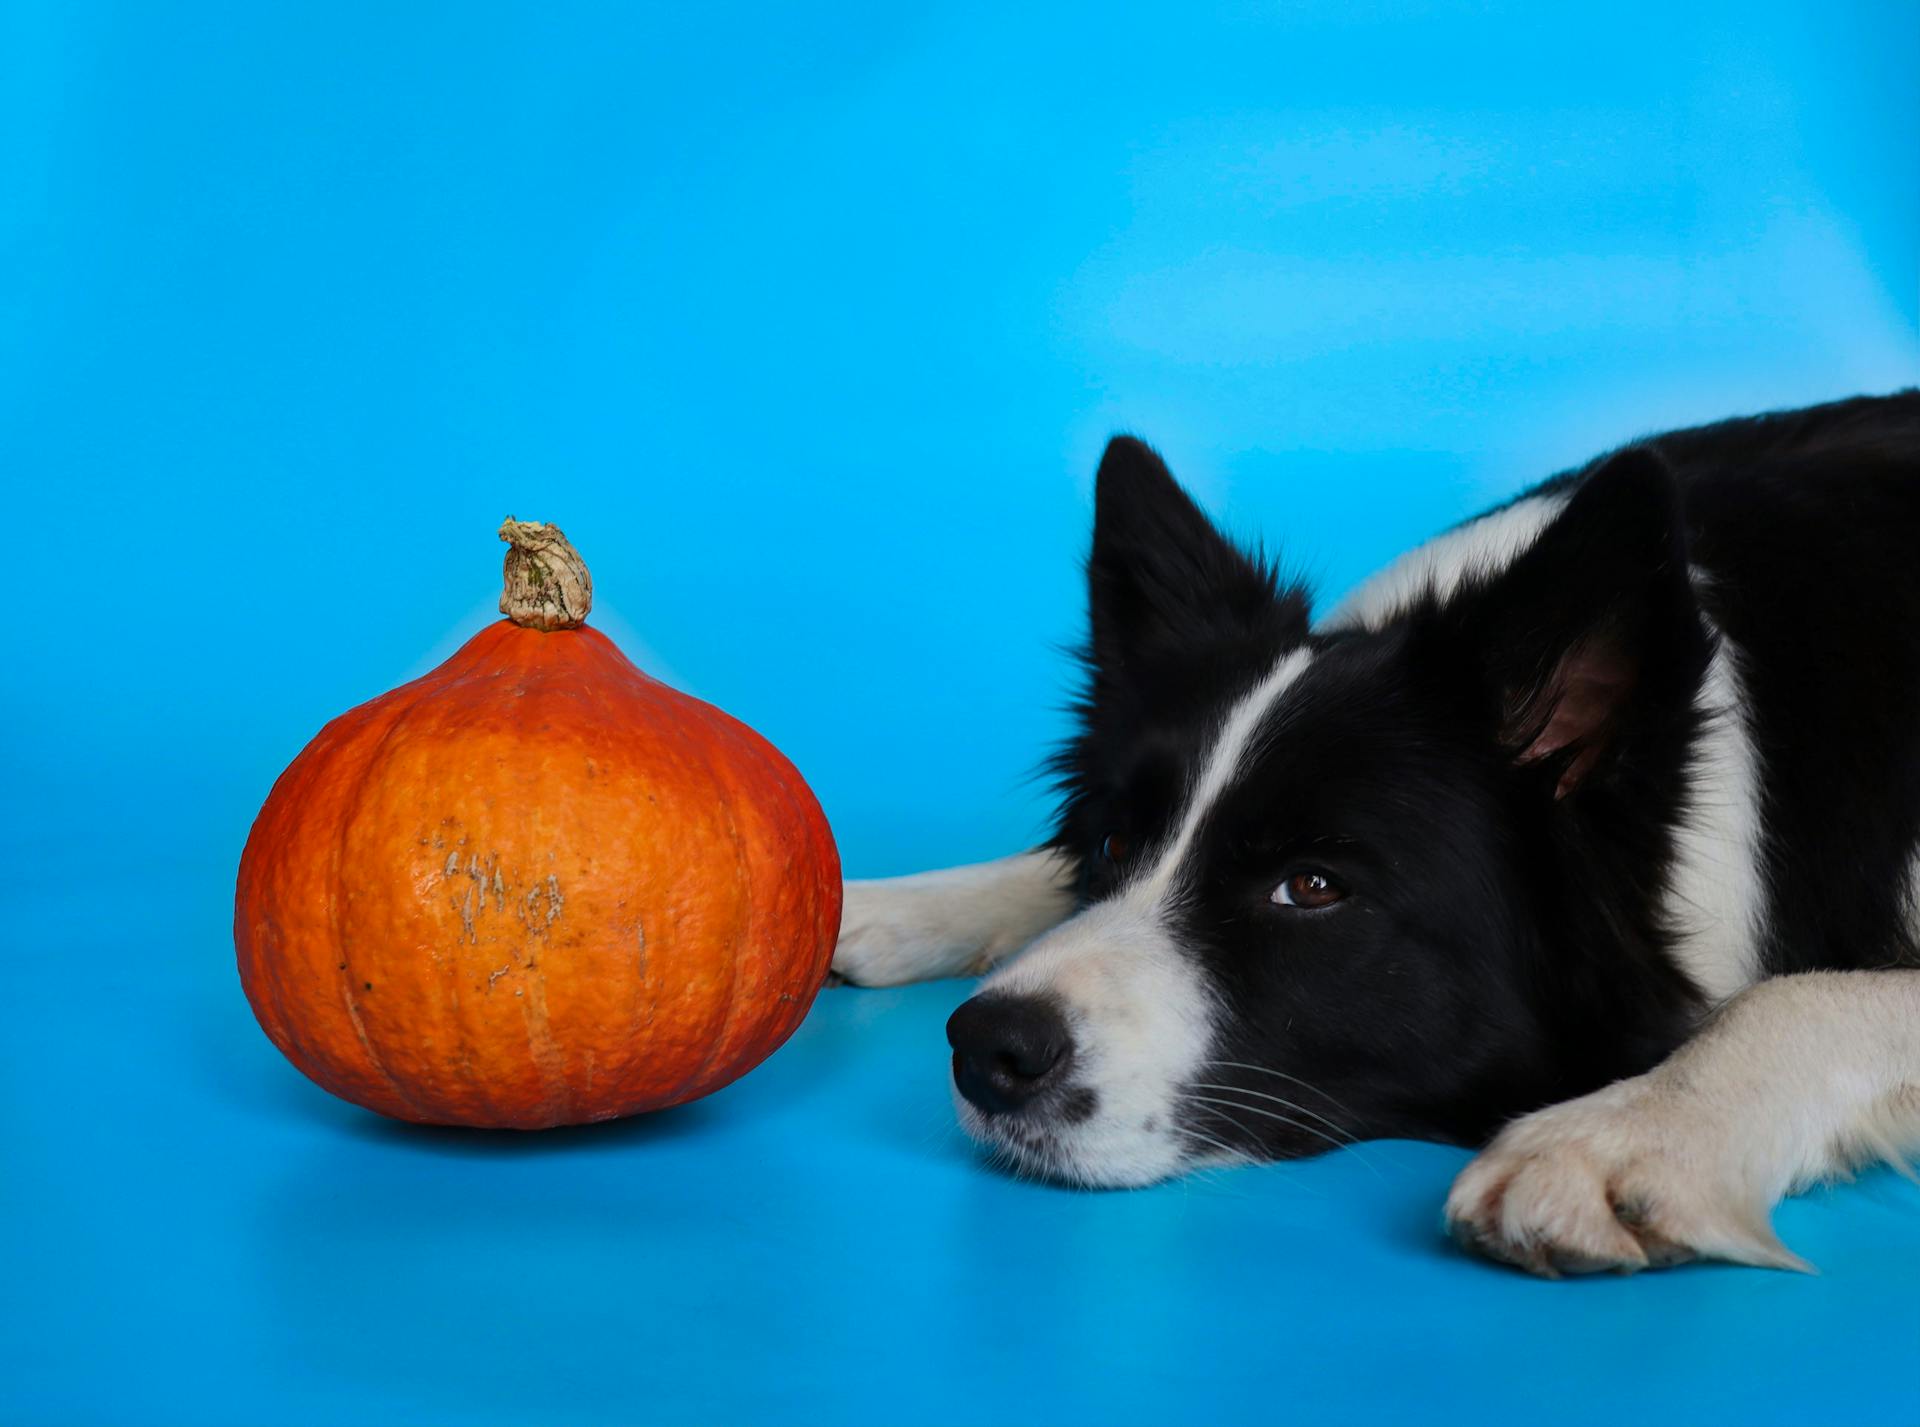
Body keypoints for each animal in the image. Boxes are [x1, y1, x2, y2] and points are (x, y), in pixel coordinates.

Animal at [837, 393, 1920, 1282]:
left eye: (1313, 887)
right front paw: (868, 901)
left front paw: (1622, 1134)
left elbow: (1796, 996)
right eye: (1109, 847)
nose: (987, 1048)